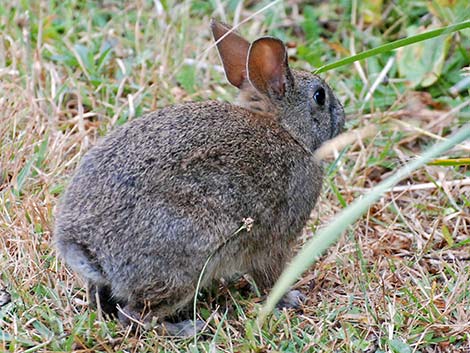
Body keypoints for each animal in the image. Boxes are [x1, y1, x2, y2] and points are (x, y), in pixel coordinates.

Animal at [54, 20, 346, 336]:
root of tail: (84, 248)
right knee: (135, 316)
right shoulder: (274, 240)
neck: (287, 131)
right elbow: (269, 277)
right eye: (320, 96)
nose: (342, 114)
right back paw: (189, 328)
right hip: (188, 262)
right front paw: (290, 298)